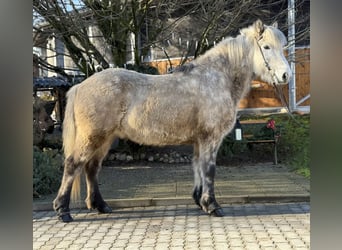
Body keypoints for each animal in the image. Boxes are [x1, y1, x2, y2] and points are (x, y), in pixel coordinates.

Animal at [53, 20, 292, 223]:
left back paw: (101, 206)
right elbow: (209, 170)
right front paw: (212, 206)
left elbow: (198, 167)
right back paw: (63, 211)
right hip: (93, 137)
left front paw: (200, 202)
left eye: (283, 47)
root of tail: (81, 85)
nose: (285, 76)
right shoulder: (211, 139)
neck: (216, 78)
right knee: (73, 165)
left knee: (91, 168)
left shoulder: (199, 141)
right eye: (267, 47)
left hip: (105, 140)